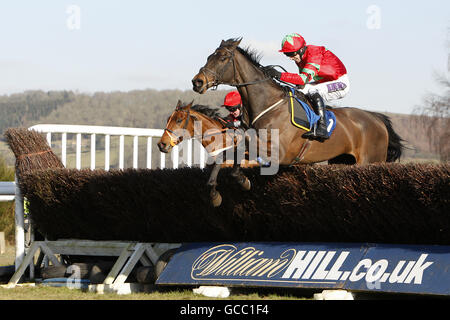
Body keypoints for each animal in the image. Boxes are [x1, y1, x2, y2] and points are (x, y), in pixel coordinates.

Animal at [191, 37, 404, 168]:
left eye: (223, 58)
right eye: (209, 56)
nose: (197, 81)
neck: (267, 104)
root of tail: (376, 118)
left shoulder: (280, 152)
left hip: (370, 160)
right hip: (342, 160)